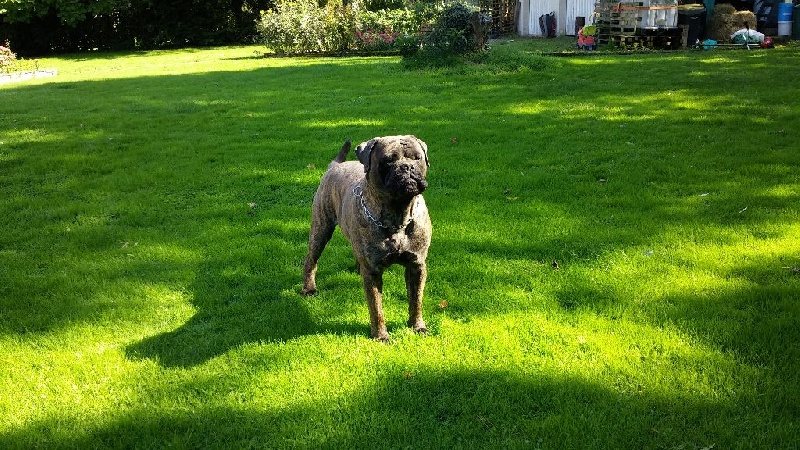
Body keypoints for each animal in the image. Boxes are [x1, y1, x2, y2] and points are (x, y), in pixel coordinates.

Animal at [302, 135, 431, 342]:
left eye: (417, 158)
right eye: (388, 160)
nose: (407, 167)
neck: (398, 214)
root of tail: (335, 165)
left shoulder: (416, 266)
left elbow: (416, 300)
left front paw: (417, 326)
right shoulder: (373, 271)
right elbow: (376, 308)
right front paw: (381, 336)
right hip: (321, 229)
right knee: (311, 259)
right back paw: (309, 288)